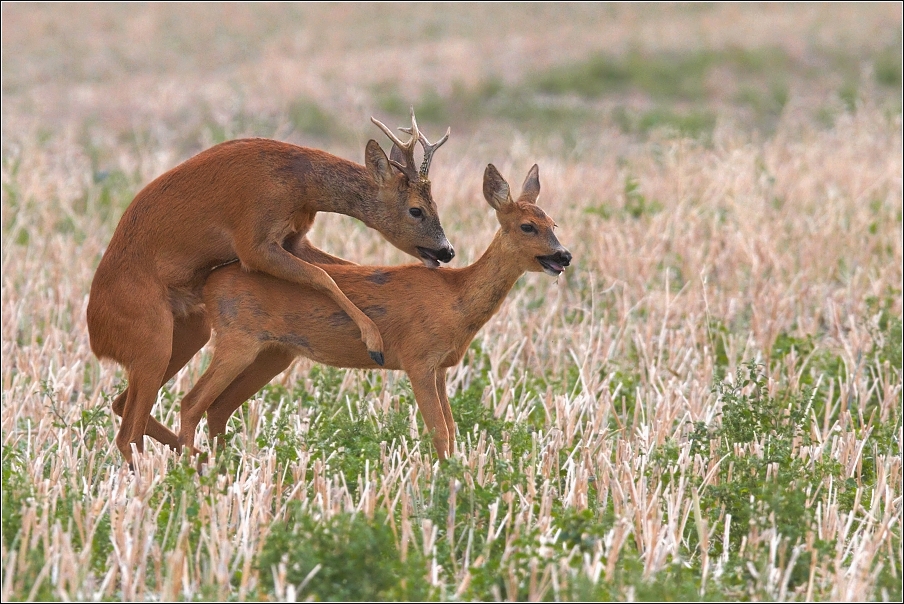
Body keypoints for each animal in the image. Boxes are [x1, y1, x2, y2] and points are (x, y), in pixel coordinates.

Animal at [85, 108, 452, 464]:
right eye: (416, 210)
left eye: (437, 205)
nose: (447, 251)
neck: (300, 184)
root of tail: (96, 336)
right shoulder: (254, 240)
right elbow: (324, 276)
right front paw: (373, 340)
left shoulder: (295, 239)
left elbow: (343, 269)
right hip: (151, 335)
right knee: (128, 433)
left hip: (190, 328)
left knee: (123, 406)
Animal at [177, 163, 572, 460]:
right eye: (527, 226)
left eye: (554, 224)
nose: (564, 255)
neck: (456, 299)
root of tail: (210, 282)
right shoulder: (417, 359)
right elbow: (439, 431)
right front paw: (445, 479)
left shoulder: (440, 367)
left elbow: (452, 428)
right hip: (237, 338)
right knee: (192, 401)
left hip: (275, 352)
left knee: (218, 406)